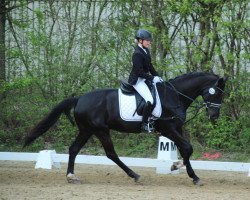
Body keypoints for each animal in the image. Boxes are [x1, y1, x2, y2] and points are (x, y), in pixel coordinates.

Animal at [24, 71, 228, 184]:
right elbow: (187, 148)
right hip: (100, 130)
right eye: (217, 93)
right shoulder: (168, 129)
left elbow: (185, 149)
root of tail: (79, 98)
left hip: (87, 130)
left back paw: (71, 176)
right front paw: (183, 170)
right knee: (110, 154)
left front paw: (184, 170)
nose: (214, 116)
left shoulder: (175, 129)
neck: (174, 95)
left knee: (74, 149)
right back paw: (135, 175)